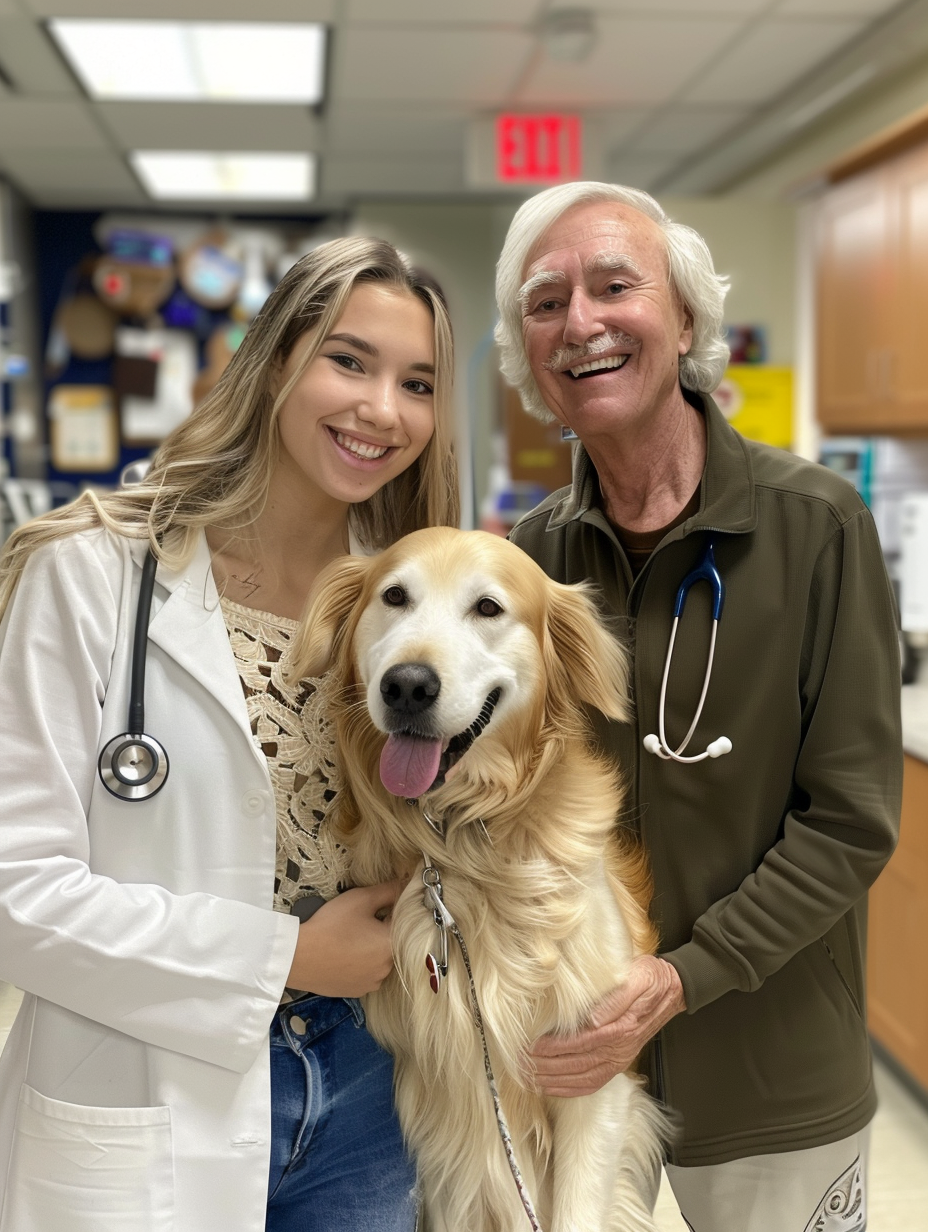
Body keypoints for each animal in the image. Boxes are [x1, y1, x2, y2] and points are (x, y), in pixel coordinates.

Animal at [293, 527, 660, 1232]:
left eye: (488, 608)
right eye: (395, 596)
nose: (407, 686)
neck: (457, 840)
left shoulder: (594, 1074)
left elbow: (577, 1210)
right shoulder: (451, 1113)